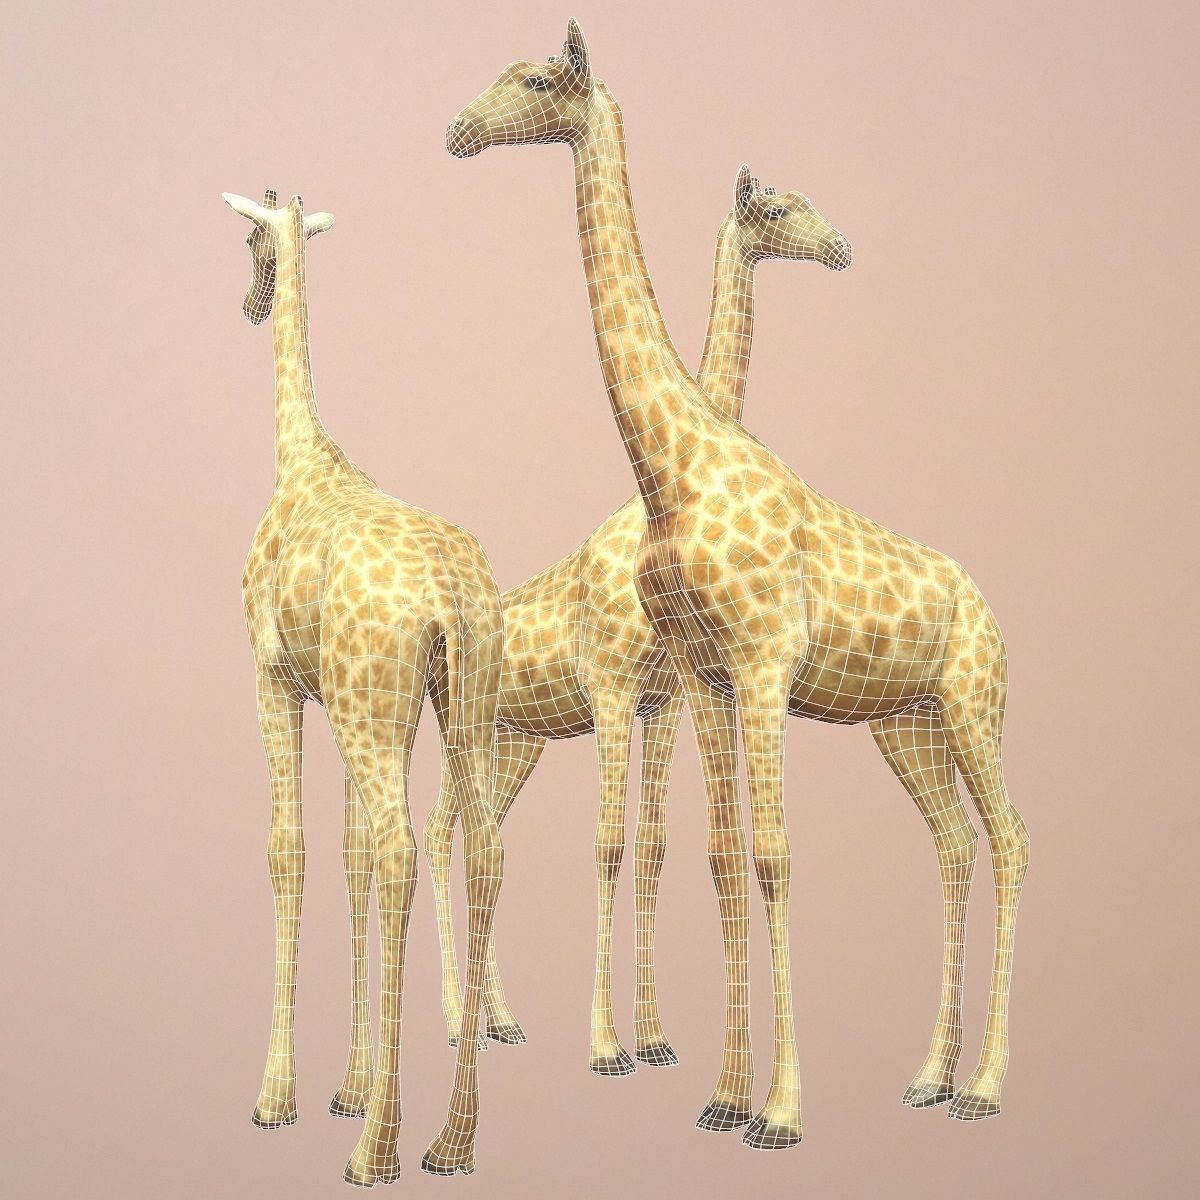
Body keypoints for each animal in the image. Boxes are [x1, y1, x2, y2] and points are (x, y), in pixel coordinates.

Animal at [223, 188, 504, 1184]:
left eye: (252, 239)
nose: (249, 301)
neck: (302, 459)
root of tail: (448, 595)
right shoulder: (342, 695)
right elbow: (342, 858)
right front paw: (345, 1085)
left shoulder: (273, 675)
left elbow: (291, 853)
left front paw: (280, 1096)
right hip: (458, 700)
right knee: (479, 848)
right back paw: (451, 1140)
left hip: (375, 709)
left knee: (401, 849)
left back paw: (377, 1148)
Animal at [405, 165, 850, 1080]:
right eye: (778, 208)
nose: (841, 248)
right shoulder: (615, 691)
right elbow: (609, 845)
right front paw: (608, 1047)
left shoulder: (664, 700)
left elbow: (652, 848)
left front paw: (653, 1038)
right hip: (478, 732)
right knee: (443, 833)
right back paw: (458, 1021)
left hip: (516, 742)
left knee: (475, 831)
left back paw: (500, 1021)